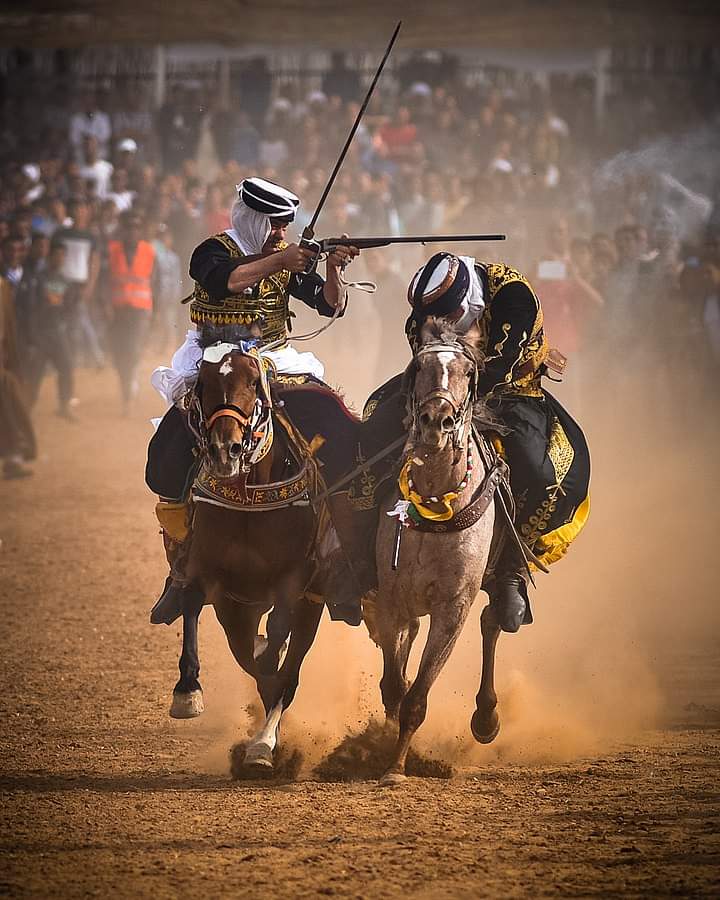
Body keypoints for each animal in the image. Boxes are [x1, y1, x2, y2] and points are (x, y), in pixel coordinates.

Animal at [170, 338, 327, 770]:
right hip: (238, 608)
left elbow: (277, 645)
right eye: (203, 382)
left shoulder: (294, 579)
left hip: (310, 604)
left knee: (287, 657)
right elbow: (192, 604)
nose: (226, 449)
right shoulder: (209, 573)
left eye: (254, 381)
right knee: (248, 652)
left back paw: (265, 740)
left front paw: (264, 742)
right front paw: (187, 692)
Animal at [373, 318, 508, 784]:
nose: (436, 420)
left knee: (493, 621)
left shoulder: (452, 609)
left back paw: (486, 718)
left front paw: (395, 767)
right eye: (419, 366)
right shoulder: (391, 599)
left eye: (468, 372)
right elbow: (395, 685)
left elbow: (416, 698)